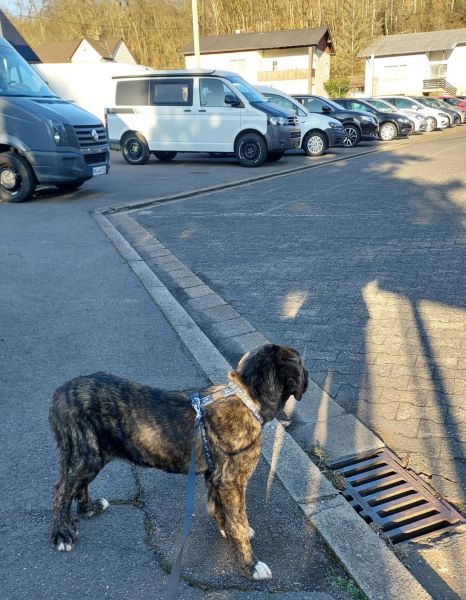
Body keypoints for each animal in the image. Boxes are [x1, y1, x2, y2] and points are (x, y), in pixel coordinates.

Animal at [49, 344, 308, 580]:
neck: (246, 398)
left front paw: (226, 531)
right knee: (61, 491)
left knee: (78, 485)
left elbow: (220, 511)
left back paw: (89, 508)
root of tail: (60, 393)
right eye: (300, 363)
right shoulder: (231, 482)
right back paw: (62, 534)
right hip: (85, 454)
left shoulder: (215, 478)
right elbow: (238, 522)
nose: (307, 374)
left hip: (92, 454)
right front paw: (250, 565)